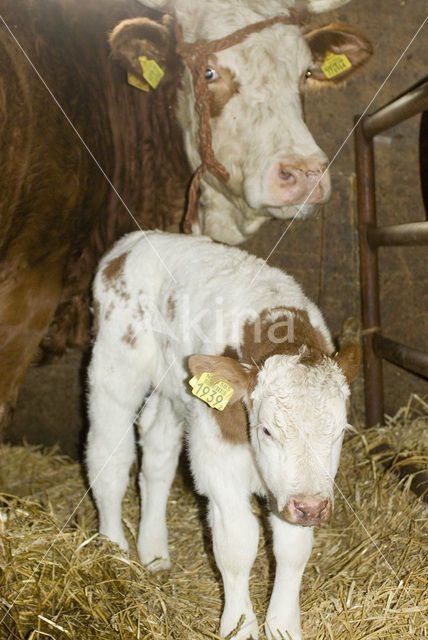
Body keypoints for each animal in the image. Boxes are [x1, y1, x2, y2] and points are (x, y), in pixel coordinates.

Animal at [87, 231, 362, 640]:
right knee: (110, 456)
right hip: (116, 365)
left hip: (175, 390)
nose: (312, 508)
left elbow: (292, 549)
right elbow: (238, 544)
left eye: (340, 431)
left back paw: (153, 552)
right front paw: (240, 625)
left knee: (157, 455)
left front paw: (283, 626)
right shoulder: (218, 463)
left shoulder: (295, 488)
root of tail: (136, 238)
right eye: (267, 430)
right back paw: (114, 550)